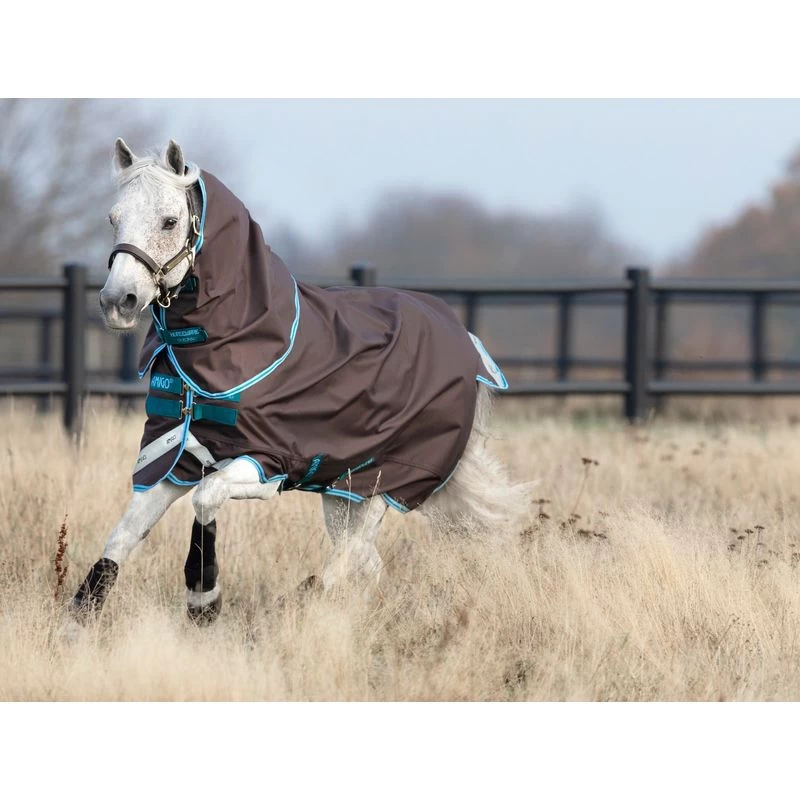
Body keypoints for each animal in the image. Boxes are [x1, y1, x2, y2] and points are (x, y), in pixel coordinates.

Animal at [70, 138, 530, 623]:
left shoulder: (266, 465)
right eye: (113, 218)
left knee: (351, 557)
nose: (117, 301)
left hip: (385, 484)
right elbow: (122, 536)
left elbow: (206, 497)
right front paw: (82, 614)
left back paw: (303, 598)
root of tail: (466, 339)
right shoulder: (171, 458)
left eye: (169, 221)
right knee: (367, 562)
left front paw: (205, 599)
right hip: (344, 491)